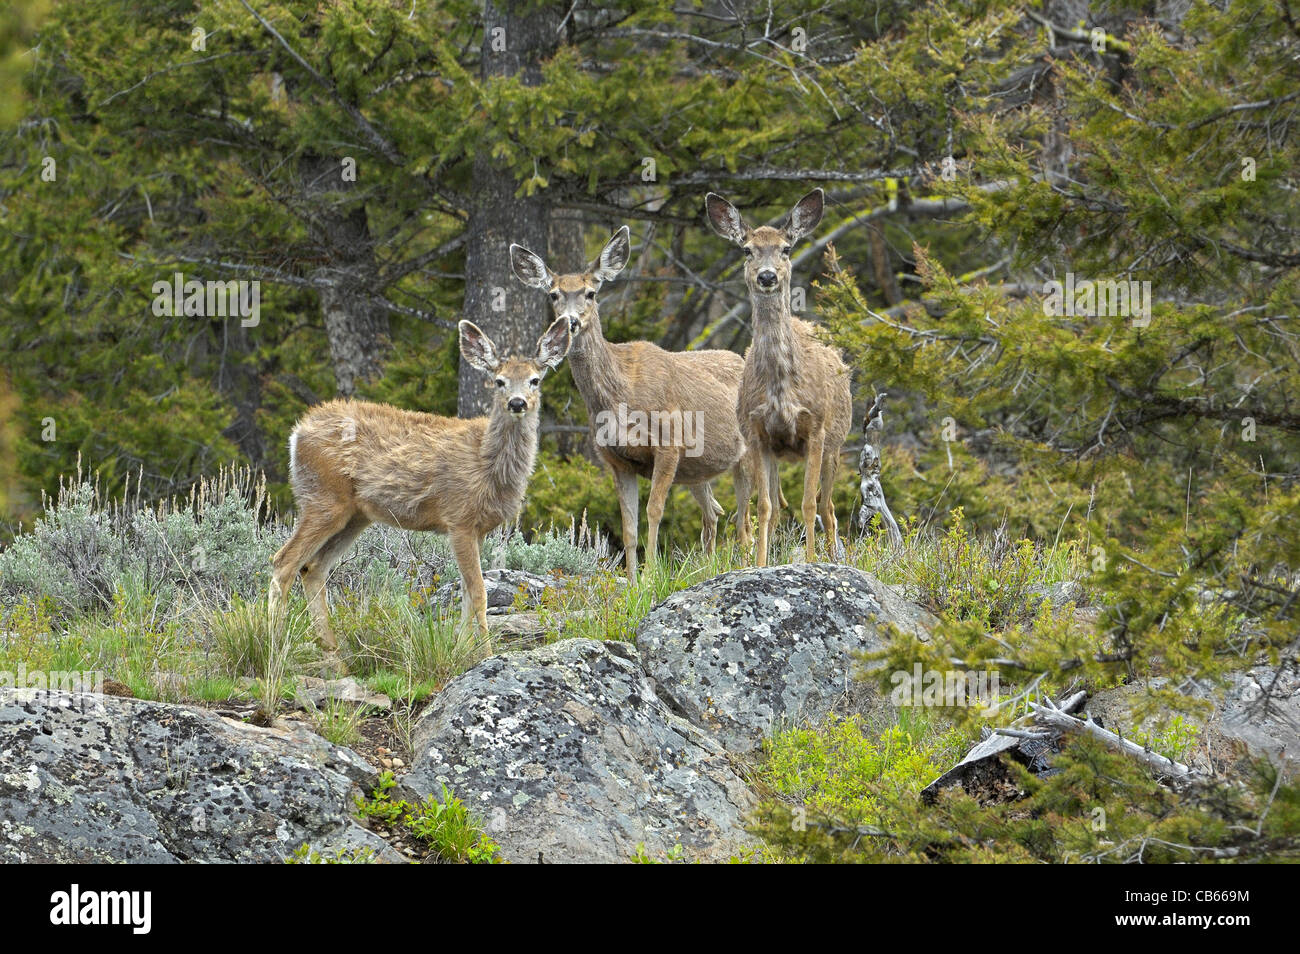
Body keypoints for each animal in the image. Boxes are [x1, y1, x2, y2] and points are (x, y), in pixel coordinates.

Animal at [267, 317, 569, 660]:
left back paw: (335, 655)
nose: (517, 403)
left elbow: (467, 595)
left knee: (313, 568)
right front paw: (486, 655)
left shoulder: (477, 528)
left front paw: (460, 653)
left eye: (534, 380)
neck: (486, 464)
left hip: (355, 515)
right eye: (499, 381)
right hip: (323, 498)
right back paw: (275, 648)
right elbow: (479, 592)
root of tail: (297, 432)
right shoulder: (458, 517)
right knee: (283, 562)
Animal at [504, 227, 759, 579]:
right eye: (553, 294)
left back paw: (751, 566)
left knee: (747, 519)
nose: (570, 322)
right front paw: (633, 579)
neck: (620, 395)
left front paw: (651, 575)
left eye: (591, 293)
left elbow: (654, 510)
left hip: (746, 451)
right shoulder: (616, 459)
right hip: (697, 469)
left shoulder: (669, 443)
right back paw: (709, 569)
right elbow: (628, 525)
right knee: (714, 513)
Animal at [712, 191, 852, 571]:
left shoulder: (816, 428)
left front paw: (813, 562)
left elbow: (808, 503)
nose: (767, 276)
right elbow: (764, 508)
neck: (781, 386)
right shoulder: (757, 434)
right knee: (776, 508)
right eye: (747, 250)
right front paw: (760, 565)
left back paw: (833, 556)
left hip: (837, 443)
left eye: (786, 248)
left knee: (829, 507)